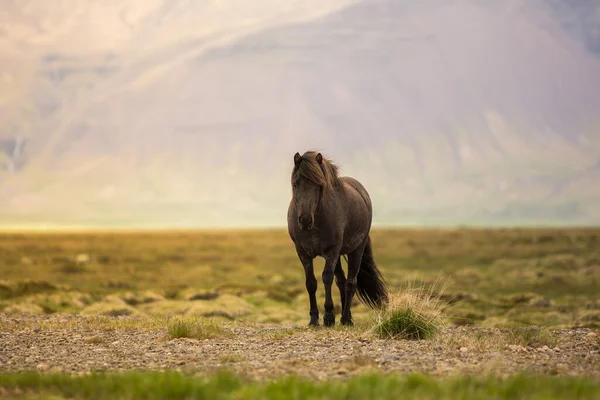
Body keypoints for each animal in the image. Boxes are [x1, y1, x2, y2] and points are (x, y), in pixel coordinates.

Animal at [288, 150, 390, 324]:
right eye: (296, 184)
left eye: (319, 185)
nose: (306, 220)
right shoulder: (302, 252)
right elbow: (311, 283)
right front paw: (314, 319)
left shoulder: (332, 251)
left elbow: (327, 278)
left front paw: (328, 316)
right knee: (341, 281)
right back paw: (344, 316)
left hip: (356, 249)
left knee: (350, 283)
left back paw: (346, 318)